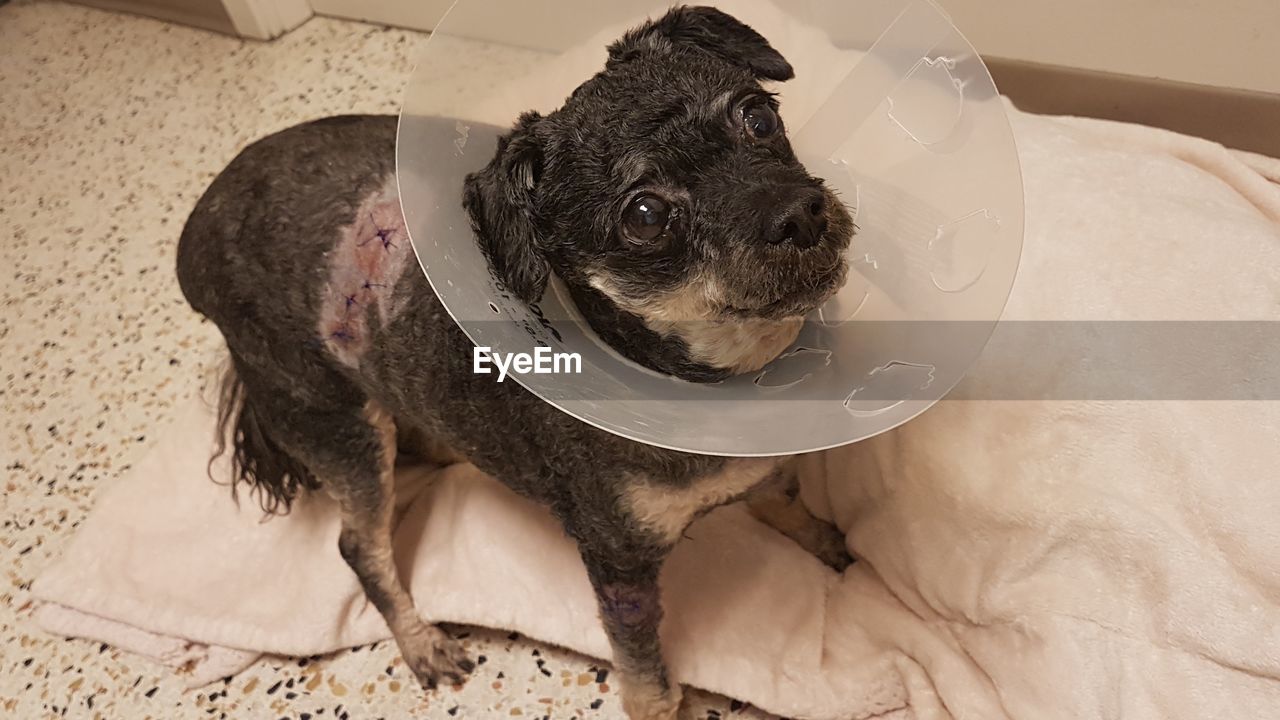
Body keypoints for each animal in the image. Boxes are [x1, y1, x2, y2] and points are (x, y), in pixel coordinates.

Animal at [175, 7, 855, 717]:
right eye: (645, 215)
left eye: (758, 116)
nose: (800, 213)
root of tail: (192, 236)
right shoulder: (618, 562)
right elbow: (648, 680)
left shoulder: (763, 467)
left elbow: (785, 500)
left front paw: (831, 546)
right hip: (333, 421)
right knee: (359, 545)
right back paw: (422, 643)